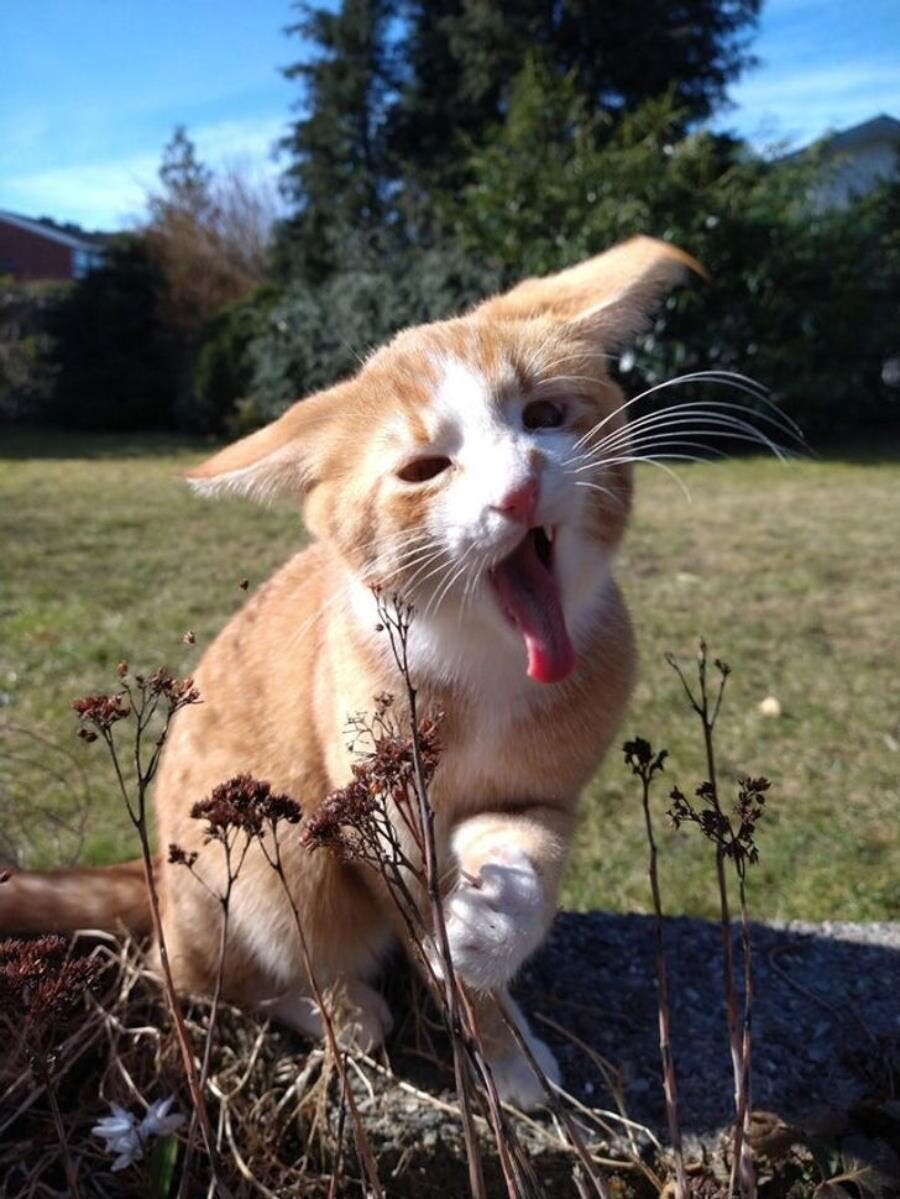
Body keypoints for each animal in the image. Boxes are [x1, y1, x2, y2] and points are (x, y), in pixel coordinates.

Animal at [1, 238, 695, 1107]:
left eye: (543, 415)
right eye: (425, 468)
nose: (517, 489)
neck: (485, 658)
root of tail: (156, 865)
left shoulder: (544, 790)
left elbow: (526, 851)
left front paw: (492, 931)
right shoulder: (374, 818)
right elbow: (417, 924)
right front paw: (493, 1038)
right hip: (263, 866)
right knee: (191, 968)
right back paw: (331, 1003)